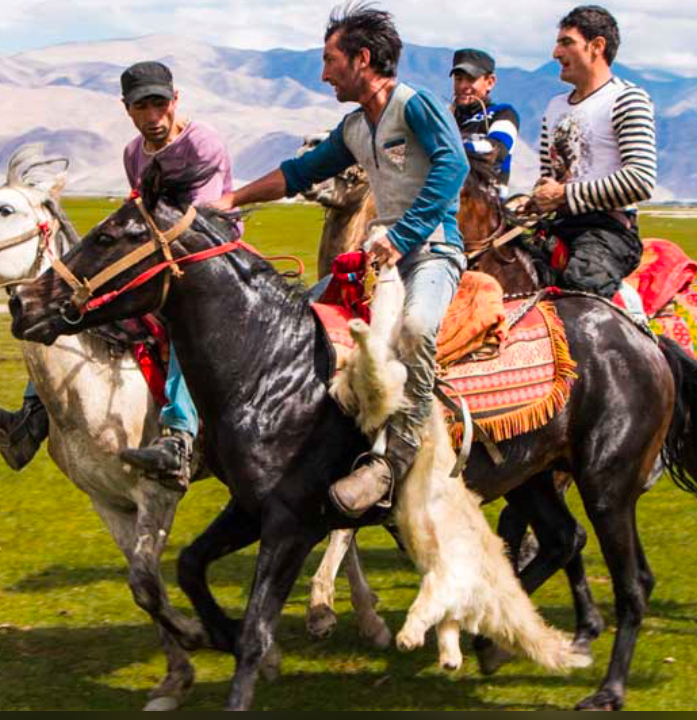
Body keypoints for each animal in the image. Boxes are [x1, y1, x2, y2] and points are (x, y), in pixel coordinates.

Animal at [10, 166, 696, 712]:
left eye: (110, 235)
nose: (24, 304)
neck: (273, 364)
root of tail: (638, 335)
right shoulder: (248, 508)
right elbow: (189, 566)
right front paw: (212, 635)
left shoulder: (291, 520)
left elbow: (257, 628)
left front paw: (246, 657)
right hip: (530, 477)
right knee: (560, 539)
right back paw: (488, 643)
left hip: (605, 483)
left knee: (632, 581)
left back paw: (604, 690)